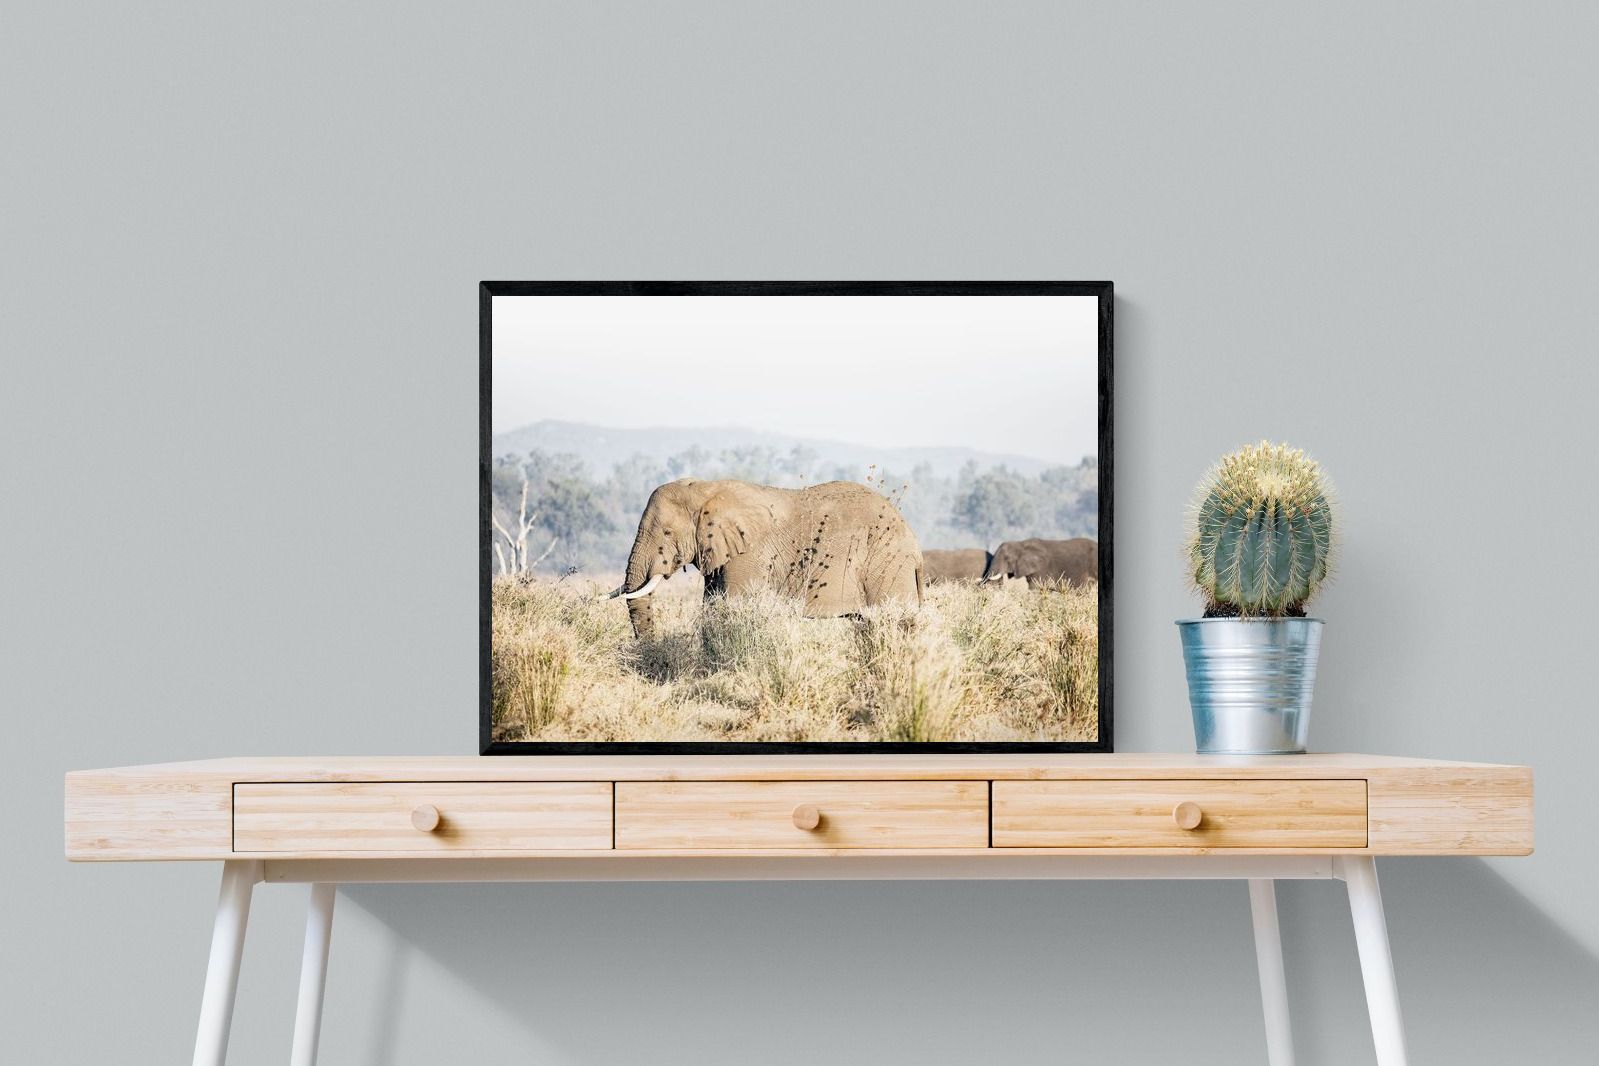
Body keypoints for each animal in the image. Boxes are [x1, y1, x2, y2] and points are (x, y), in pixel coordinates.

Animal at [609, 479, 924, 639]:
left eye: (666, 532)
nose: (650, 657)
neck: (706, 488)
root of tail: (915, 544)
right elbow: (712, 608)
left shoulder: (749, 554)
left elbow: (733, 607)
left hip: (887, 564)